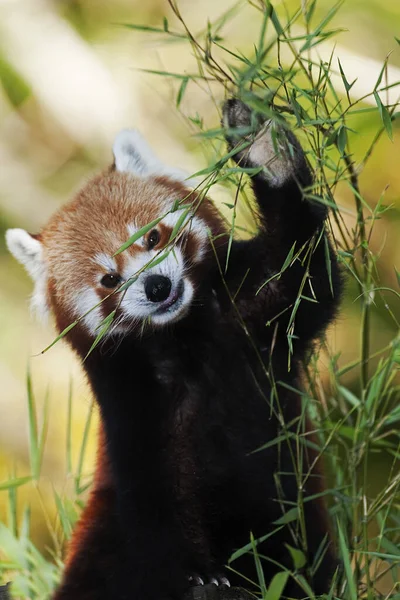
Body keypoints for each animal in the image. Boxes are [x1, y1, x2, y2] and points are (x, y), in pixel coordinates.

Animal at [6, 99, 342, 600]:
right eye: (109, 279)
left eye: (152, 237)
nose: (157, 286)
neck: (183, 338)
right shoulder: (131, 407)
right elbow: (156, 496)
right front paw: (200, 575)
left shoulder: (251, 318)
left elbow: (306, 275)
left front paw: (265, 150)